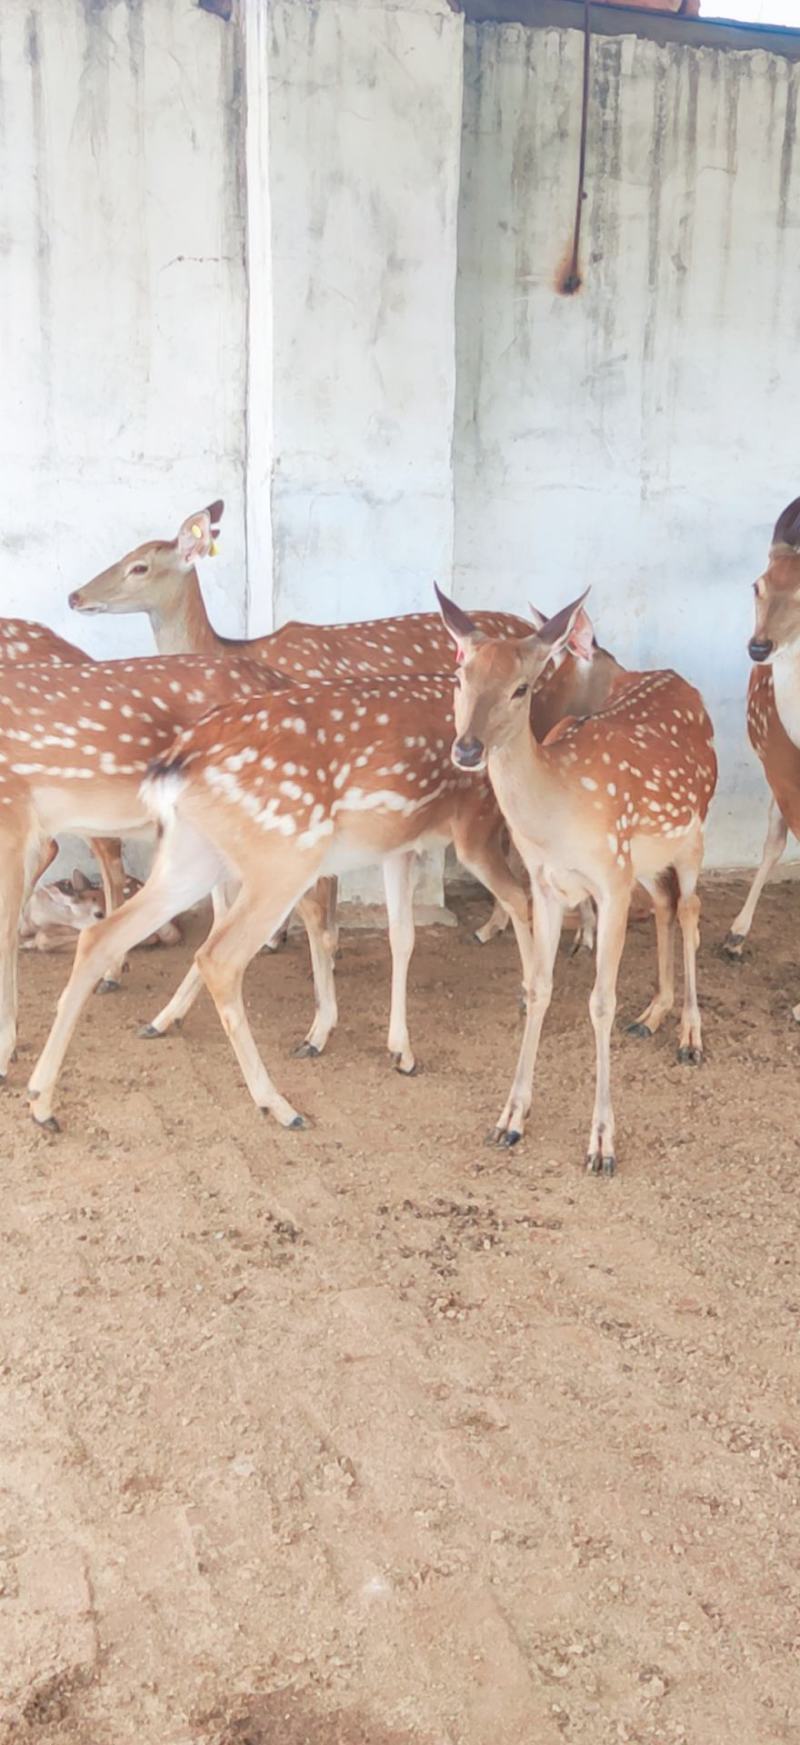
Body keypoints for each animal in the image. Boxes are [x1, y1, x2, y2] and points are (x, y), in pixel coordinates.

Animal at [433, 585, 717, 1175]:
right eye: (460, 675)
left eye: (522, 687)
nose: (467, 749)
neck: (559, 813)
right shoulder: (547, 885)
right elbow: (538, 986)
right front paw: (510, 1119)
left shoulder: (610, 879)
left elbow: (600, 1001)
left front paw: (602, 1144)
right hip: (646, 858)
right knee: (665, 904)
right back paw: (653, 1014)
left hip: (692, 832)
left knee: (690, 909)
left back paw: (690, 1034)